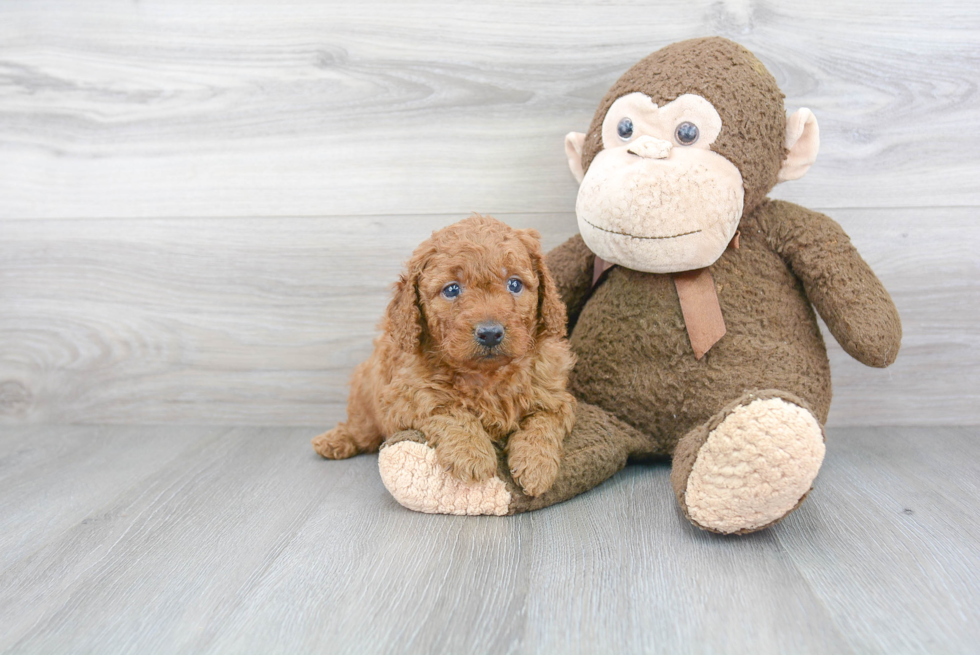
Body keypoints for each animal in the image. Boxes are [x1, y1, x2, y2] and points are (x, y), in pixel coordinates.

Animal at [312, 215, 576, 498]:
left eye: (514, 284)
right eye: (451, 290)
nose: (490, 333)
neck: (487, 376)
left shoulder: (556, 396)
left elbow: (543, 422)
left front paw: (537, 466)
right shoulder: (405, 397)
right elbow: (449, 410)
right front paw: (472, 455)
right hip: (365, 393)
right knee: (361, 429)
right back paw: (334, 440)